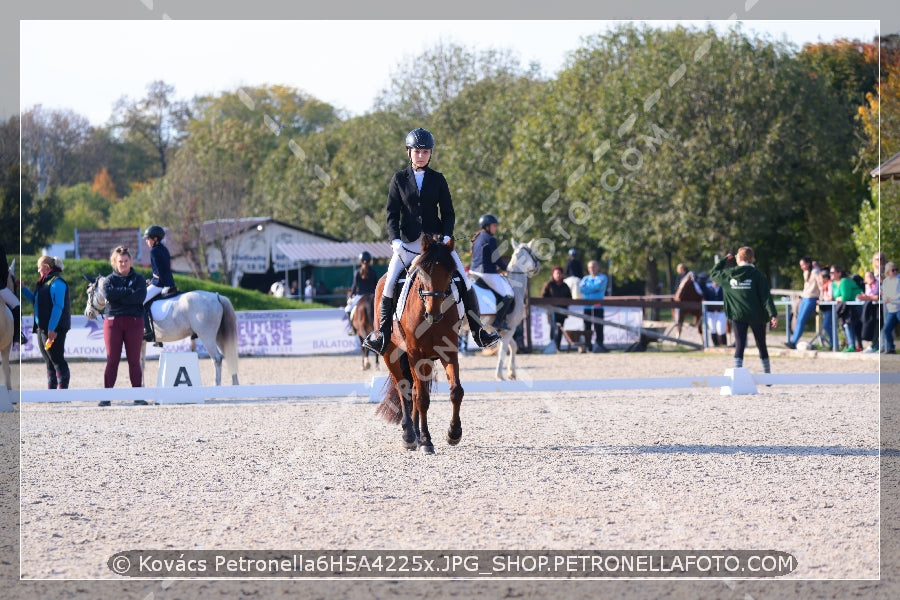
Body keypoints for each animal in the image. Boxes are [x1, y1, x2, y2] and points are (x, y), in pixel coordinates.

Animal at [83, 276, 239, 384]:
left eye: (89, 292)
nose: (88, 313)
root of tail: (216, 296)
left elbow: (137, 364)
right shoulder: (142, 341)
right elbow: (141, 364)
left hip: (207, 337)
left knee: (217, 359)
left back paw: (216, 387)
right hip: (218, 336)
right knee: (229, 355)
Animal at [374, 234, 464, 454]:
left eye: (450, 273)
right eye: (422, 272)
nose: (434, 314)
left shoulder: (449, 352)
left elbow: (456, 391)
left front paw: (453, 433)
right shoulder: (415, 354)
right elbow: (422, 399)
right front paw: (426, 440)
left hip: (425, 360)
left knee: (414, 390)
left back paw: (415, 432)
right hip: (392, 353)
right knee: (404, 389)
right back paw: (409, 435)